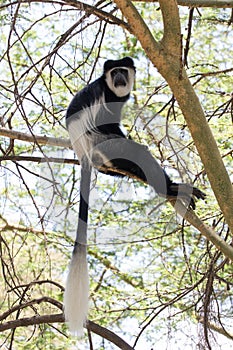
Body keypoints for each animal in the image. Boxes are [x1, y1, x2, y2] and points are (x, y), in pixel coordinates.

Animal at [63, 56, 204, 334]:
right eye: (114, 72)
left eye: (123, 71)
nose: (119, 77)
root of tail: (83, 153)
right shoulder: (105, 98)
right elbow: (108, 123)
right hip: (104, 145)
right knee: (131, 150)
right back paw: (170, 188)